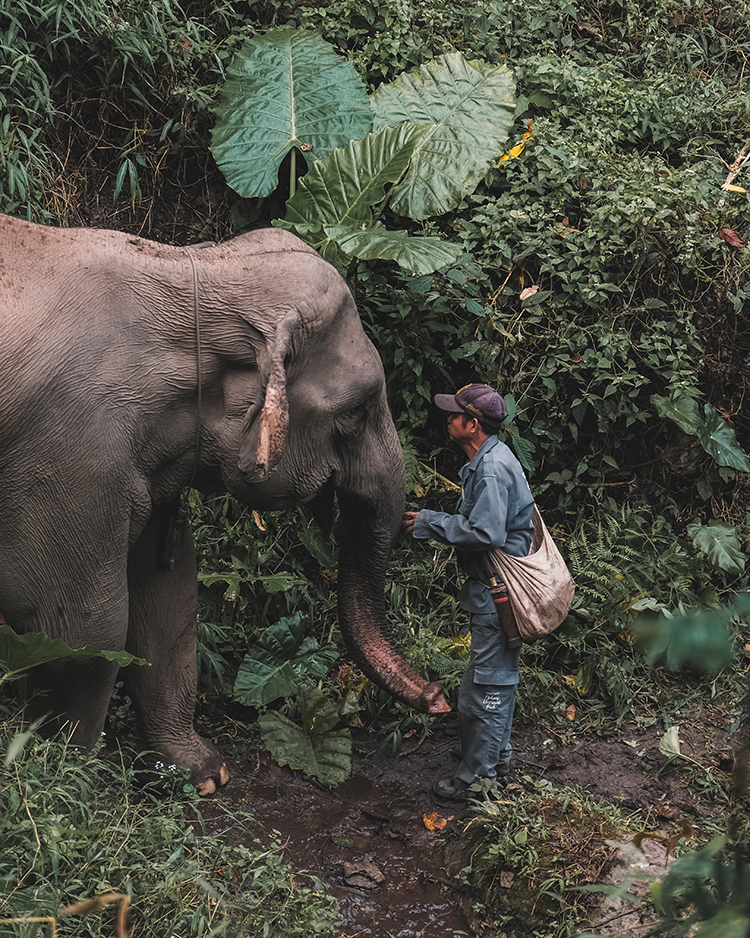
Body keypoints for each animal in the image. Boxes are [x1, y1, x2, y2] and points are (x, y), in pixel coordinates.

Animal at [0, 212, 450, 788]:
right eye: (356, 412)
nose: (439, 697)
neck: (198, 268)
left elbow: (169, 595)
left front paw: (202, 774)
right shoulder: (72, 454)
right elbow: (79, 627)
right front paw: (66, 773)